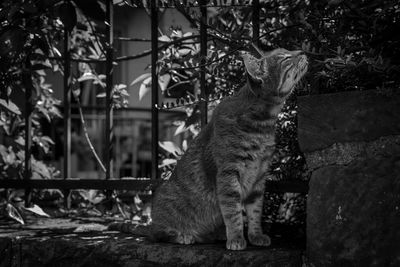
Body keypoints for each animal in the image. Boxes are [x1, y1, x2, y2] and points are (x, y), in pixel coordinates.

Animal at [109, 48, 310, 251]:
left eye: (288, 51)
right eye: (286, 58)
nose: (302, 51)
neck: (262, 125)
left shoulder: (259, 177)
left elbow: (255, 212)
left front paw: (255, 235)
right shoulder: (228, 174)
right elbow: (233, 213)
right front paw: (236, 238)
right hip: (165, 205)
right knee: (158, 234)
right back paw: (184, 235)